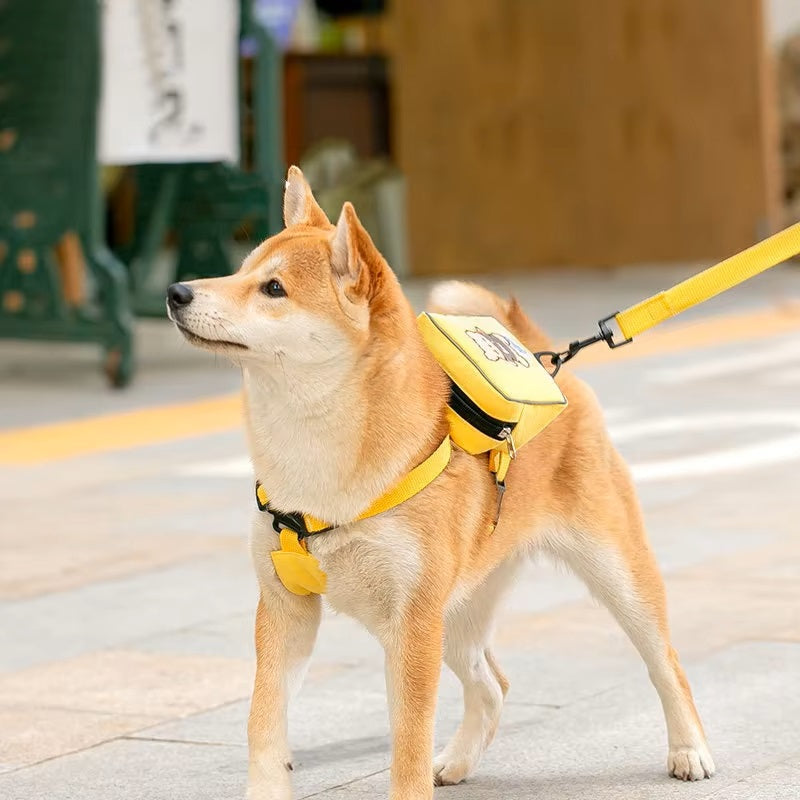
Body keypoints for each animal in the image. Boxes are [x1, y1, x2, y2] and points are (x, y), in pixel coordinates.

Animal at [167, 166, 712, 796]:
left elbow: (406, 744)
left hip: (612, 576)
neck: (319, 467)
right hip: (456, 611)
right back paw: (456, 761)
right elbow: (263, 728)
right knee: (493, 685)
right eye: (239, 270)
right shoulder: (286, 610)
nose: (176, 292)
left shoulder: (411, 625)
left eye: (274, 289)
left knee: (665, 661)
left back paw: (689, 749)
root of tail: (541, 354)